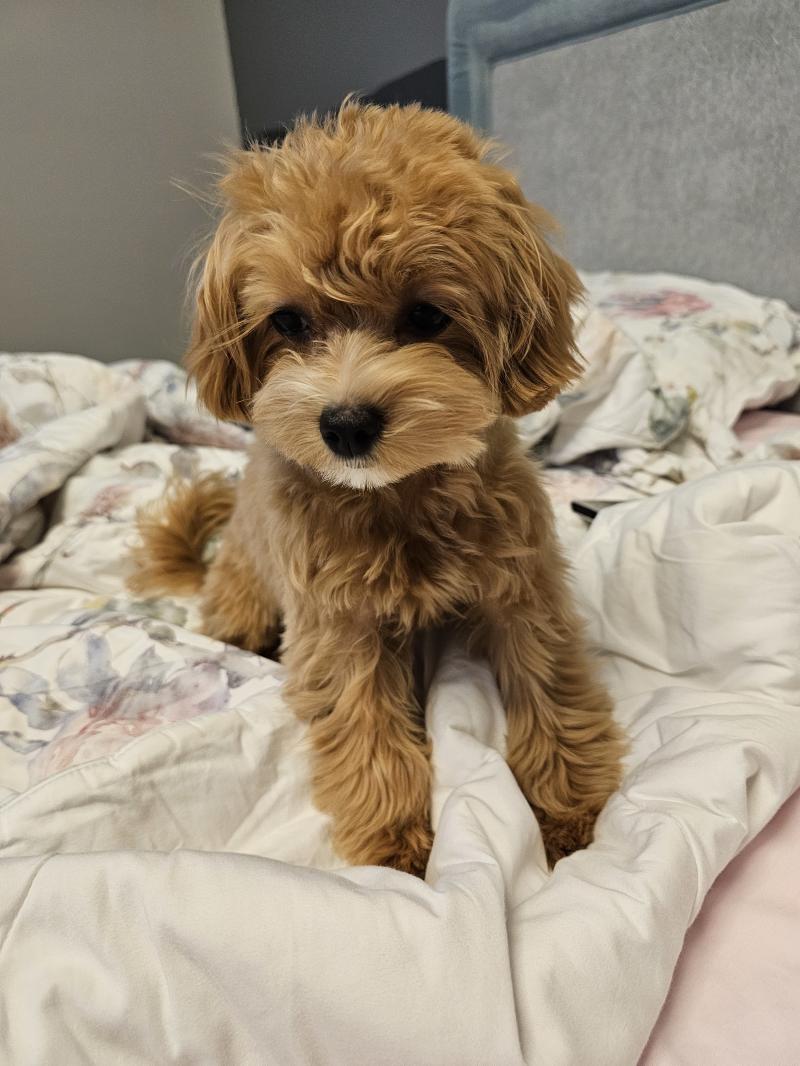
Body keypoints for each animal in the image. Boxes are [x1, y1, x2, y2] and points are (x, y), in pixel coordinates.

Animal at [130, 102, 625, 875]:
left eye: (426, 316)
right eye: (288, 321)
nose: (346, 424)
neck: (395, 494)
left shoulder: (523, 590)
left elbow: (549, 681)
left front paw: (564, 807)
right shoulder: (338, 625)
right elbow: (365, 721)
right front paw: (395, 842)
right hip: (246, 597)